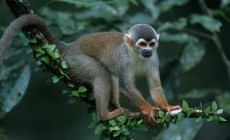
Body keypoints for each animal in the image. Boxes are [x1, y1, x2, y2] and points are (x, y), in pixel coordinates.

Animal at [0, 14, 180, 125]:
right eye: (142, 44)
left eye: (151, 44)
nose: (148, 51)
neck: (136, 55)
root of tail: (69, 47)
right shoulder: (123, 59)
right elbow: (126, 87)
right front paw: (148, 109)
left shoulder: (154, 59)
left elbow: (155, 86)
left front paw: (167, 107)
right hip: (75, 62)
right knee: (102, 74)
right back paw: (104, 115)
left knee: (110, 75)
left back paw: (114, 105)